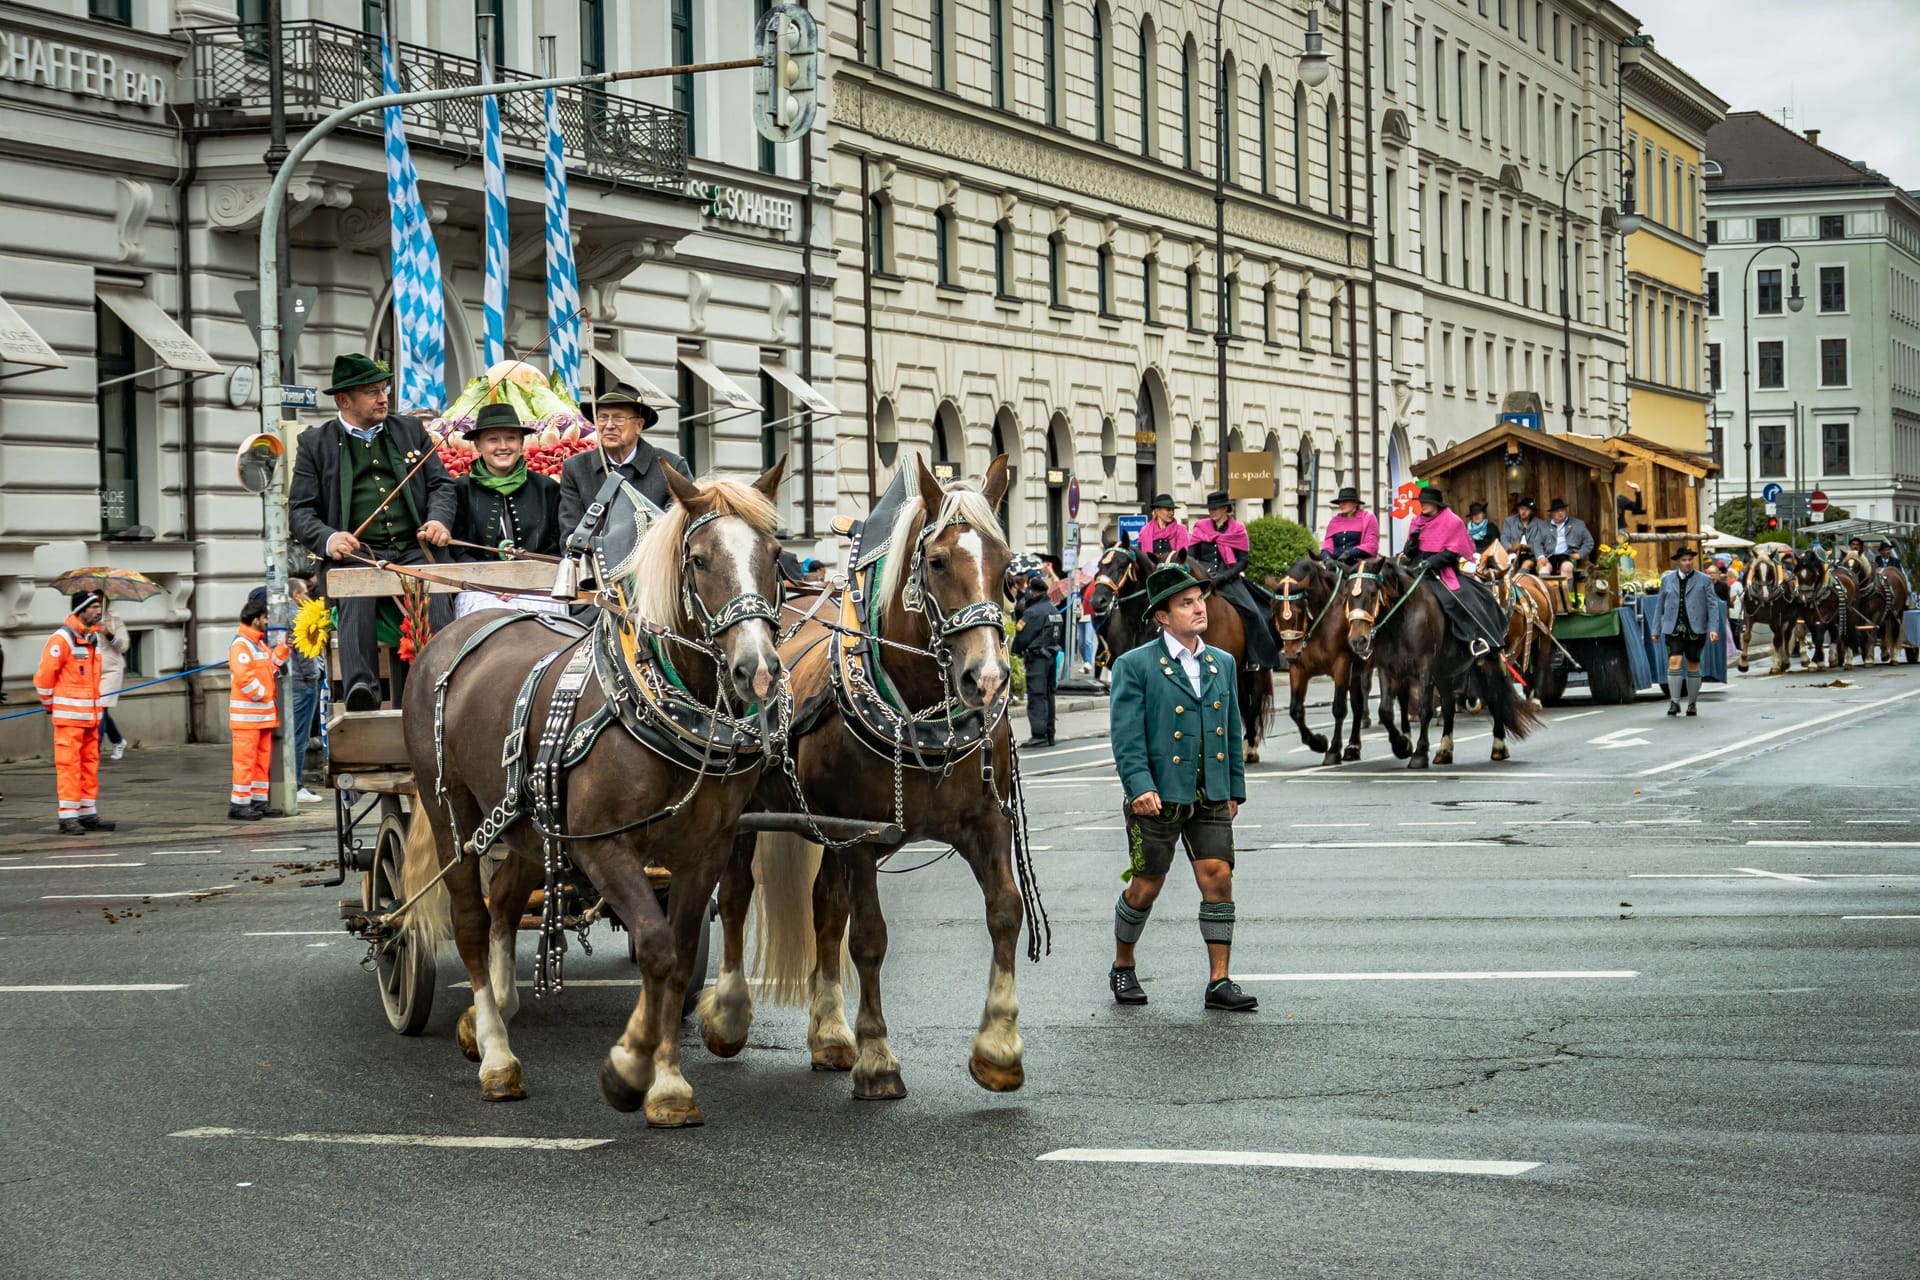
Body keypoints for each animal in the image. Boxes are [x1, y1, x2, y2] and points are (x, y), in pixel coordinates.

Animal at [397, 466, 787, 1128]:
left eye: (776, 555)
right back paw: (496, 1054)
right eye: (700, 560)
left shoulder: (704, 851)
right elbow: (655, 944)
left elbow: (680, 954)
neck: (653, 704)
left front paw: (667, 1083)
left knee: (506, 900)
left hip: (527, 823)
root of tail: (456, 631)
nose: (757, 671)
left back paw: (492, 1012)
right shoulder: (602, 847)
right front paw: (630, 1068)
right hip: (450, 808)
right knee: (472, 919)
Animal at [702, 458, 1036, 1105]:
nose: (986, 680)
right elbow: (870, 939)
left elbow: (1004, 911)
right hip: (746, 818)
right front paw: (878, 1060)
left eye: (1008, 566)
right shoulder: (858, 838)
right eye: (937, 562)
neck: (918, 711)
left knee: (824, 908)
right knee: (735, 897)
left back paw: (830, 1033)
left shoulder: (981, 823)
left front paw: (999, 1048)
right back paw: (728, 1016)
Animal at [1274, 556, 1367, 767]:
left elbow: (1339, 708)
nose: (1289, 654)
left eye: (1300, 610)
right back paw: (1353, 747)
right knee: (1358, 706)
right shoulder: (1298, 669)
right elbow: (1295, 710)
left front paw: (1333, 750)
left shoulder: (1342, 666)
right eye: (1274, 611)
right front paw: (1318, 742)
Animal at [1351, 556, 1543, 767]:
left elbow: (1425, 709)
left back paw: (1499, 746)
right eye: (1348, 596)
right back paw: (1444, 750)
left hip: (1488, 663)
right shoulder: (1388, 669)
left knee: (1494, 696)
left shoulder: (1425, 669)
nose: (1358, 640)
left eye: (1372, 593)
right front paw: (1402, 746)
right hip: (1445, 672)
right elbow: (1385, 711)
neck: (1402, 618)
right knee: (1449, 706)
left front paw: (1419, 753)